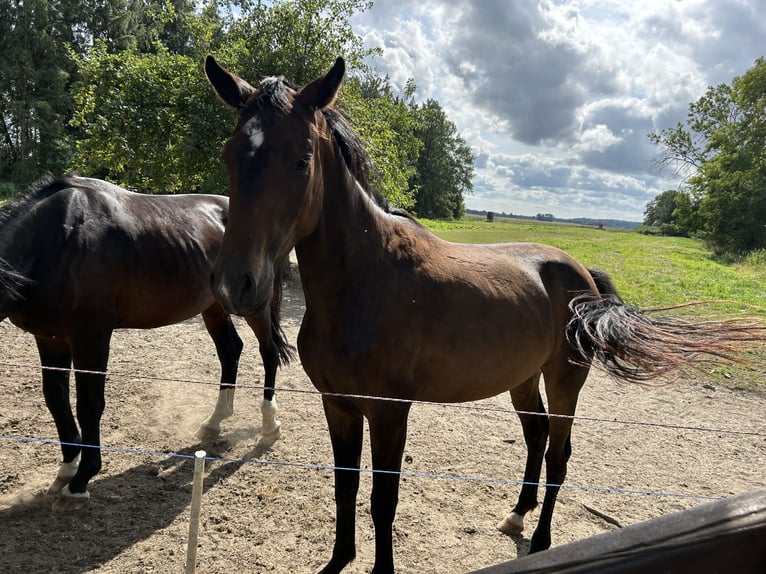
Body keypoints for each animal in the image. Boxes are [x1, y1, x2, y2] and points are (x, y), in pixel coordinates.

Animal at [0, 175, 294, 511]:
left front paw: (81, 481)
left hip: (254, 304)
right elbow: (57, 401)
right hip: (214, 306)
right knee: (230, 350)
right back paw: (214, 422)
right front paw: (67, 469)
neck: (56, 241)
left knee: (268, 351)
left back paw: (269, 426)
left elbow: (89, 405)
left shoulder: (91, 337)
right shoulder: (50, 338)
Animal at [204, 56, 765, 573]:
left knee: (559, 453)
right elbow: (345, 490)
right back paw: (517, 513)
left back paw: (540, 541)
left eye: (301, 160)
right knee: (537, 435)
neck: (365, 281)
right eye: (230, 155)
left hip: (565, 380)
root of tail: (580, 275)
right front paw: (338, 561)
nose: (236, 283)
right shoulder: (338, 406)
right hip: (522, 379)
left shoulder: (389, 413)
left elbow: (383, 502)